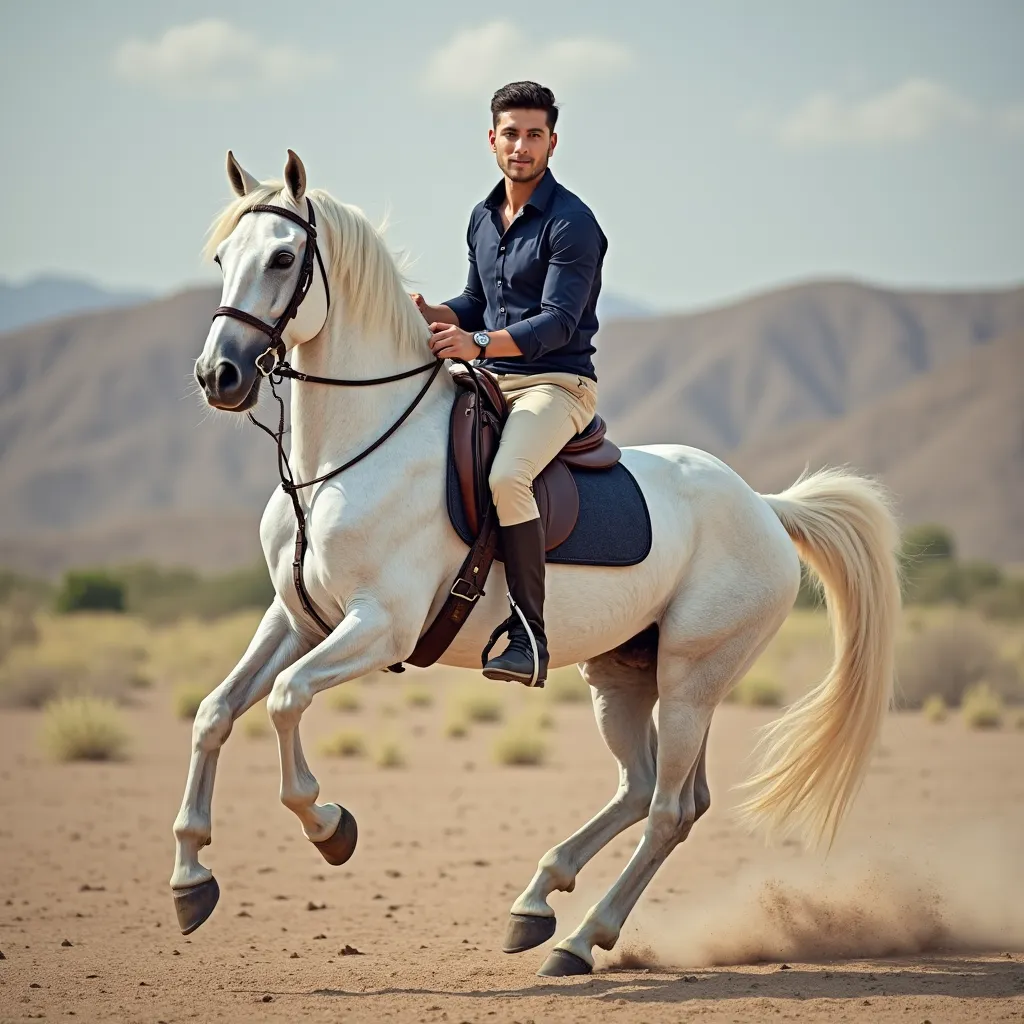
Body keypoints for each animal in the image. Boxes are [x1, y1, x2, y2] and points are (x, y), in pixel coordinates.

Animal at [178, 149, 905, 974]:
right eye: (221, 258)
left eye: (281, 257)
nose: (219, 376)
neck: (343, 459)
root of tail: (765, 507)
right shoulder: (297, 619)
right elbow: (216, 712)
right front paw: (190, 878)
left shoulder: (377, 627)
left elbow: (284, 700)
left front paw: (330, 827)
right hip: (622, 676)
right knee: (643, 789)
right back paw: (537, 902)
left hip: (694, 678)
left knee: (668, 809)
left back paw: (582, 939)